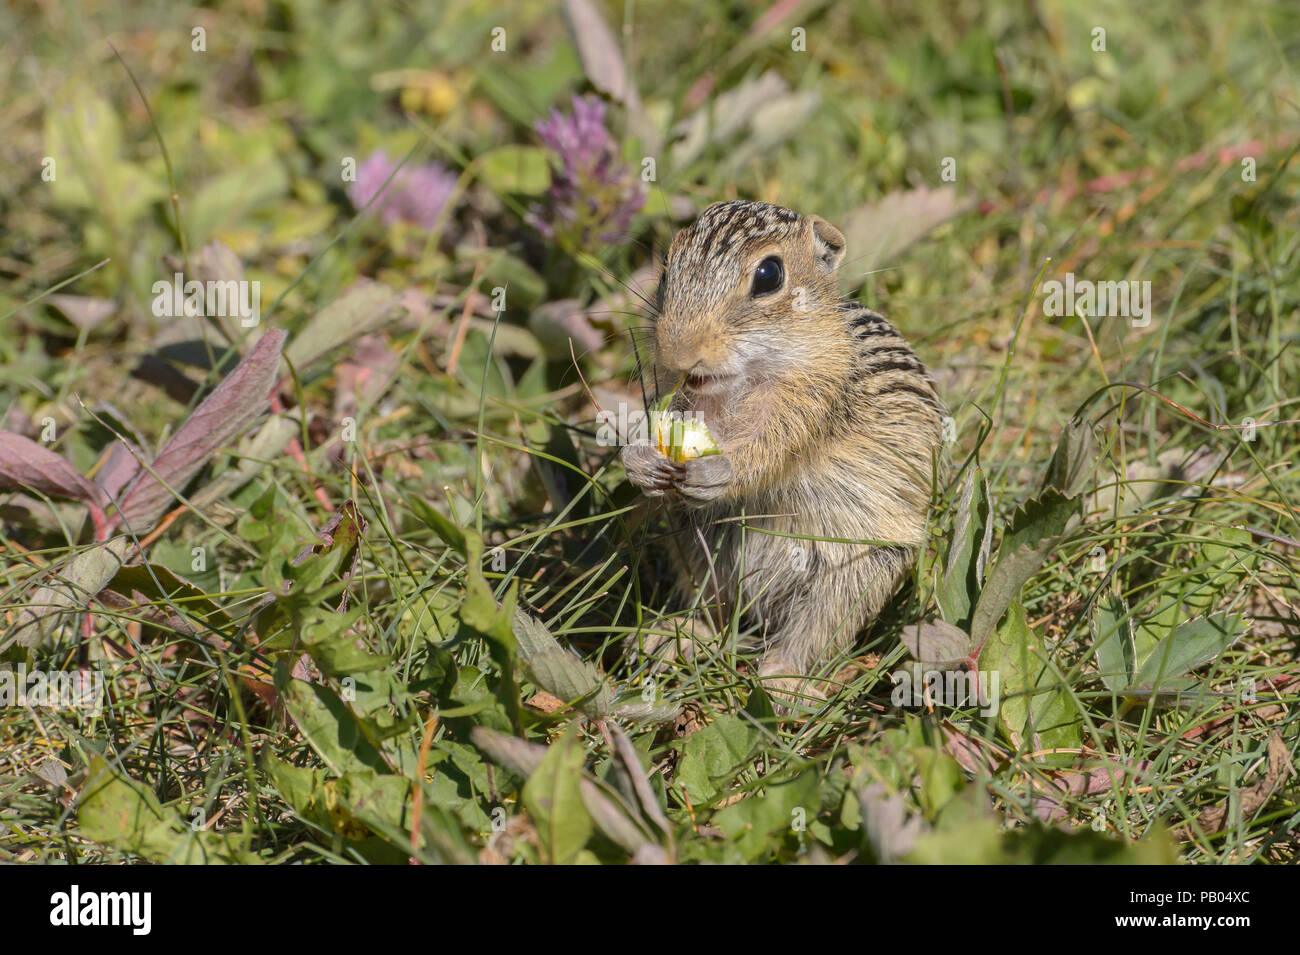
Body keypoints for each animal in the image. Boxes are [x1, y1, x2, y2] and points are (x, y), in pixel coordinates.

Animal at [618, 200, 946, 712]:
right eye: (666, 268)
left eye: (769, 275)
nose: (679, 352)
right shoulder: (678, 396)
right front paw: (638, 461)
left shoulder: (812, 403)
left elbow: (768, 449)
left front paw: (719, 470)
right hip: (694, 547)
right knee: (714, 609)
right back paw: (676, 635)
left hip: (858, 573)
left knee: (814, 634)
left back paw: (782, 680)